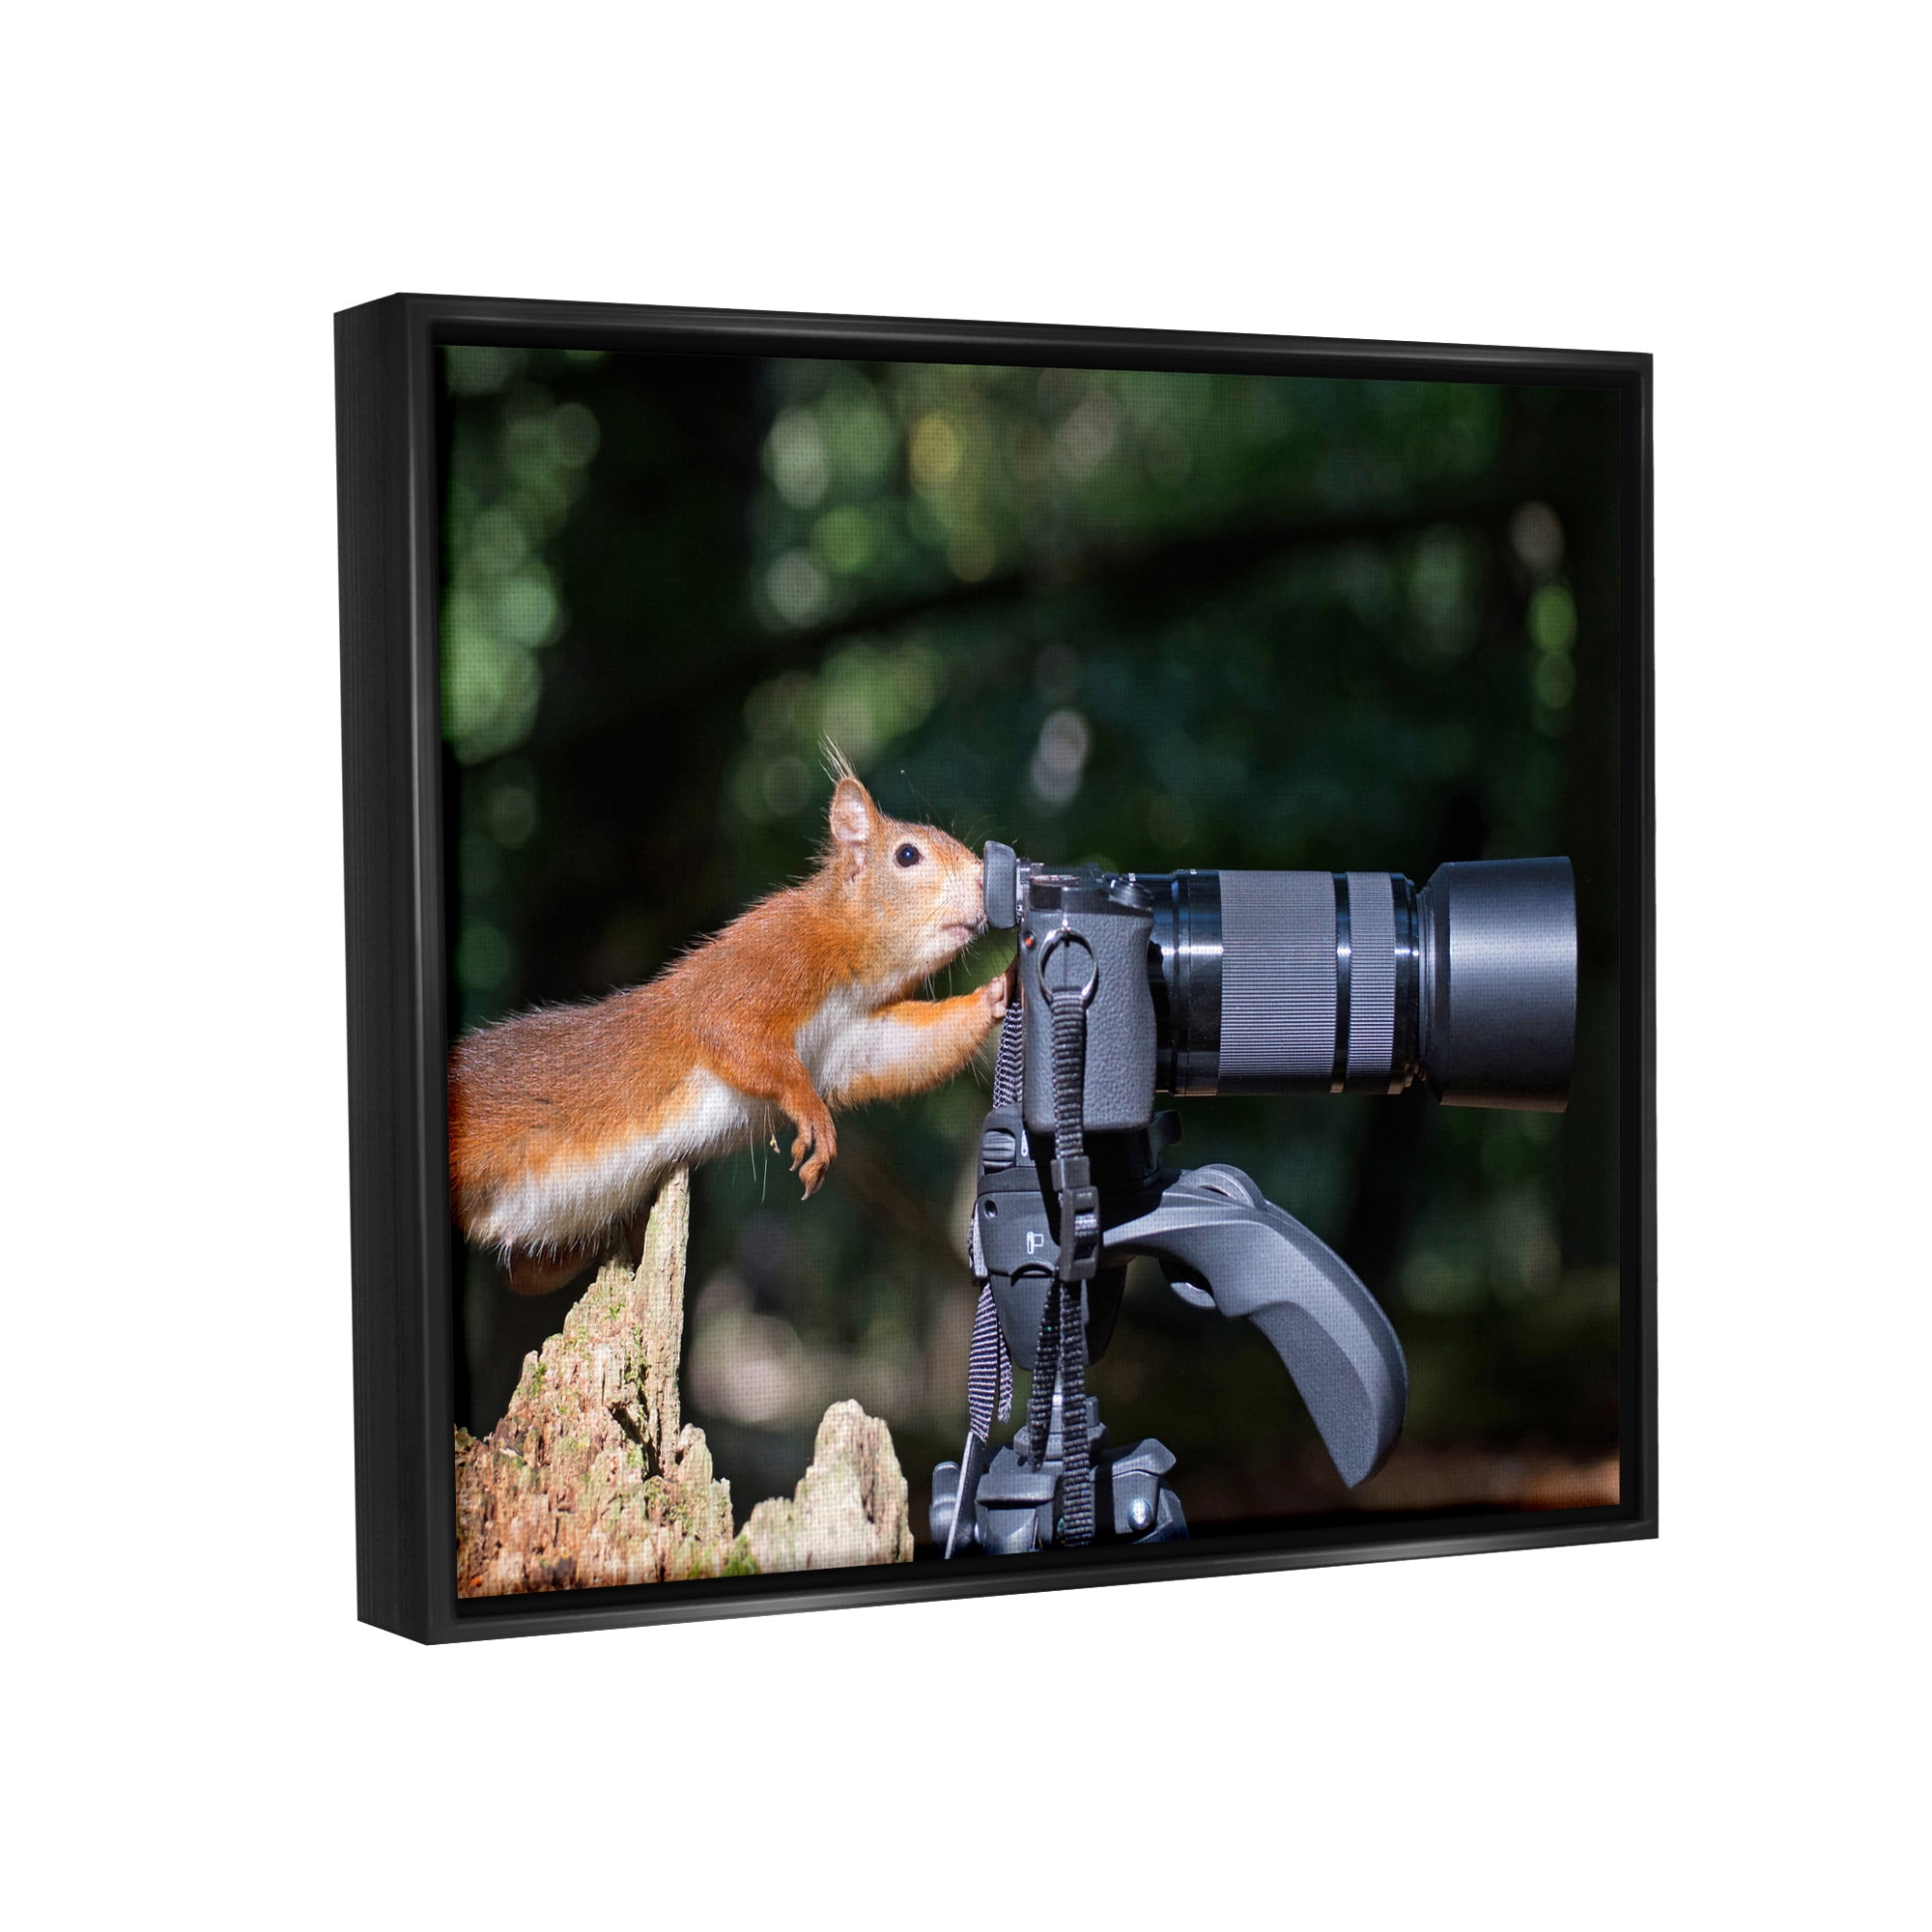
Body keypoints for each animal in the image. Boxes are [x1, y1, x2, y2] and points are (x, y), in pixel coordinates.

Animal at [449, 761, 1013, 1297]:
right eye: (907, 855)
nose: (986, 881)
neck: (850, 961)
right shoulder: (764, 961)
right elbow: (730, 1032)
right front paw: (812, 1114)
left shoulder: (850, 1041)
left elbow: (905, 1050)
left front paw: (1002, 988)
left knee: (525, 1275)